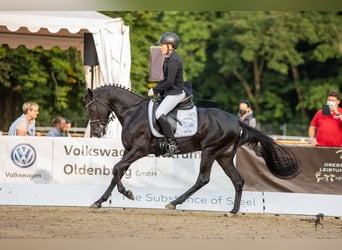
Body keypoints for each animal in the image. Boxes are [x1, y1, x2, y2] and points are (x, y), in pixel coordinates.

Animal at [85, 85, 300, 214]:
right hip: (223, 156)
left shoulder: (139, 150)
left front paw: (127, 193)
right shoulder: (128, 151)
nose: (96, 133)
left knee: (203, 179)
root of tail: (236, 121)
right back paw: (233, 211)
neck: (134, 112)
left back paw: (174, 203)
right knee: (238, 180)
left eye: (91, 108)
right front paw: (99, 201)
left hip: (210, 151)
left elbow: (116, 169)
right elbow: (118, 171)